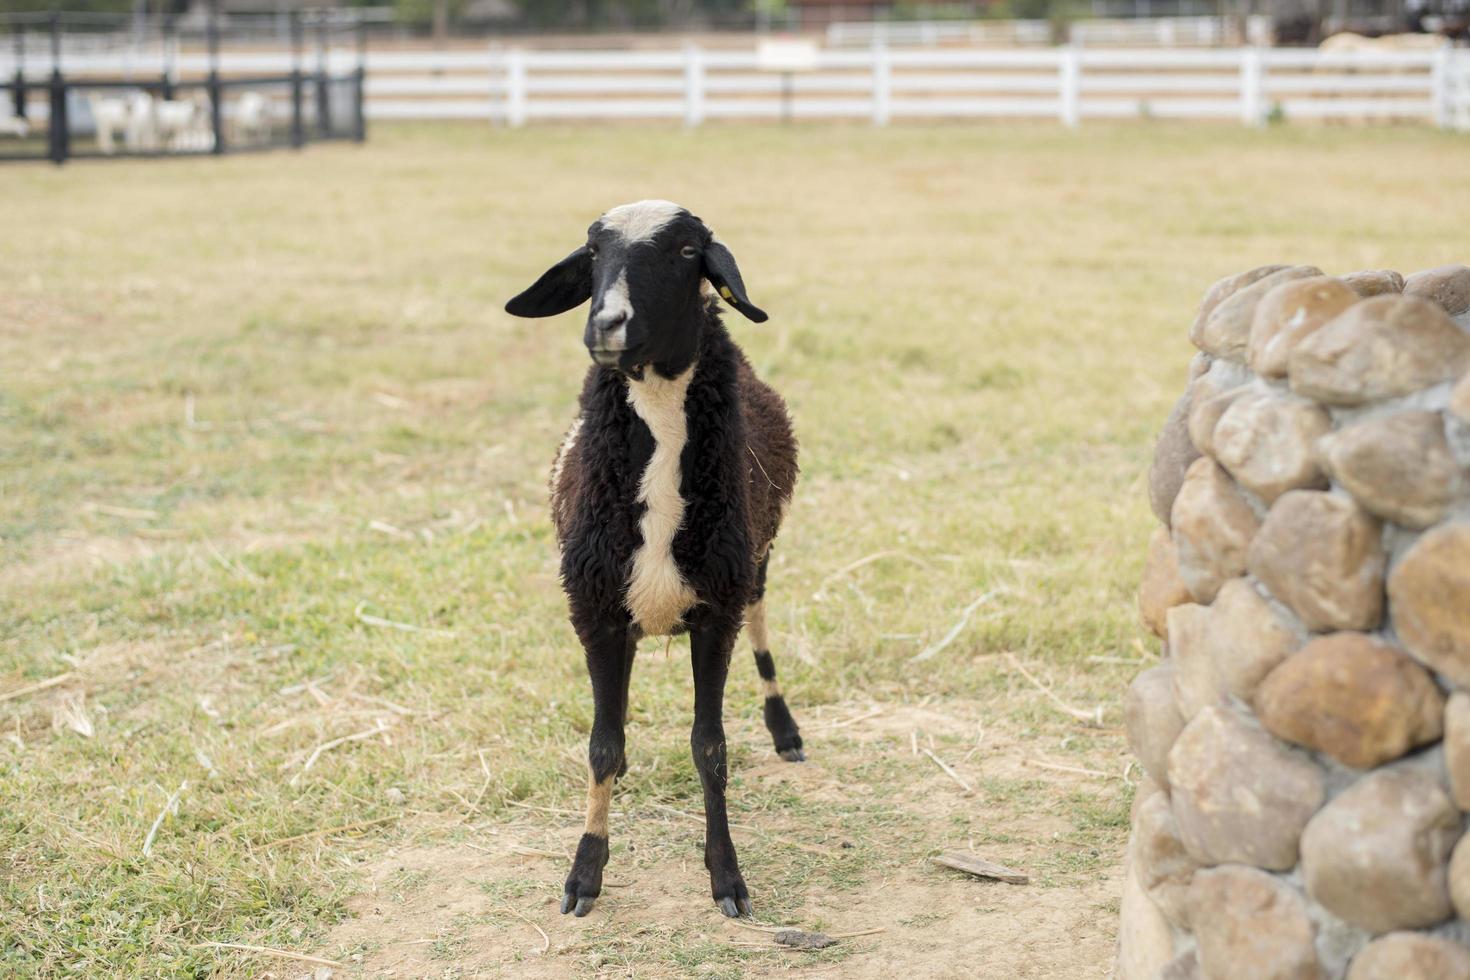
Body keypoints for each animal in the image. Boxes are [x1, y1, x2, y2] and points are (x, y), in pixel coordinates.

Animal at [505, 199, 805, 922]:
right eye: (592, 253)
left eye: (688, 251)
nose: (606, 323)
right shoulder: (595, 611)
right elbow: (603, 745)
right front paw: (584, 874)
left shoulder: (716, 611)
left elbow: (710, 748)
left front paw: (727, 878)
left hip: (756, 557)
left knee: (762, 619)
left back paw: (785, 729)